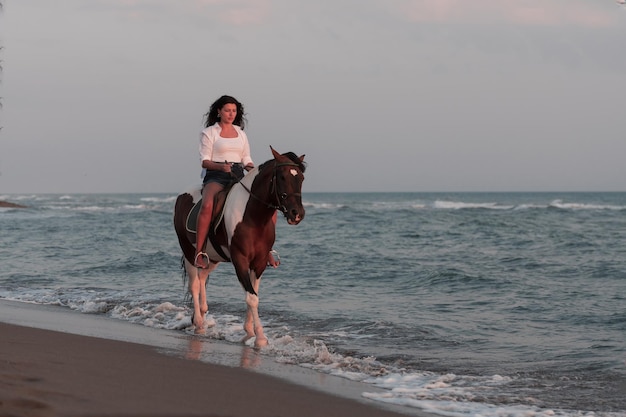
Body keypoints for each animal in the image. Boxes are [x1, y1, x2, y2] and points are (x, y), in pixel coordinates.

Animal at [173, 148, 304, 346]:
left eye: (302, 178)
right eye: (282, 177)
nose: (297, 214)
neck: (253, 218)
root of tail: (182, 195)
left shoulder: (259, 263)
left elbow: (254, 295)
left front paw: (249, 331)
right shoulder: (240, 260)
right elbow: (251, 297)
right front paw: (260, 338)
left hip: (212, 257)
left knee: (202, 278)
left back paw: (202, 313)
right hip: (189, 252)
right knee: (194, 284)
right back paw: (200, 324)